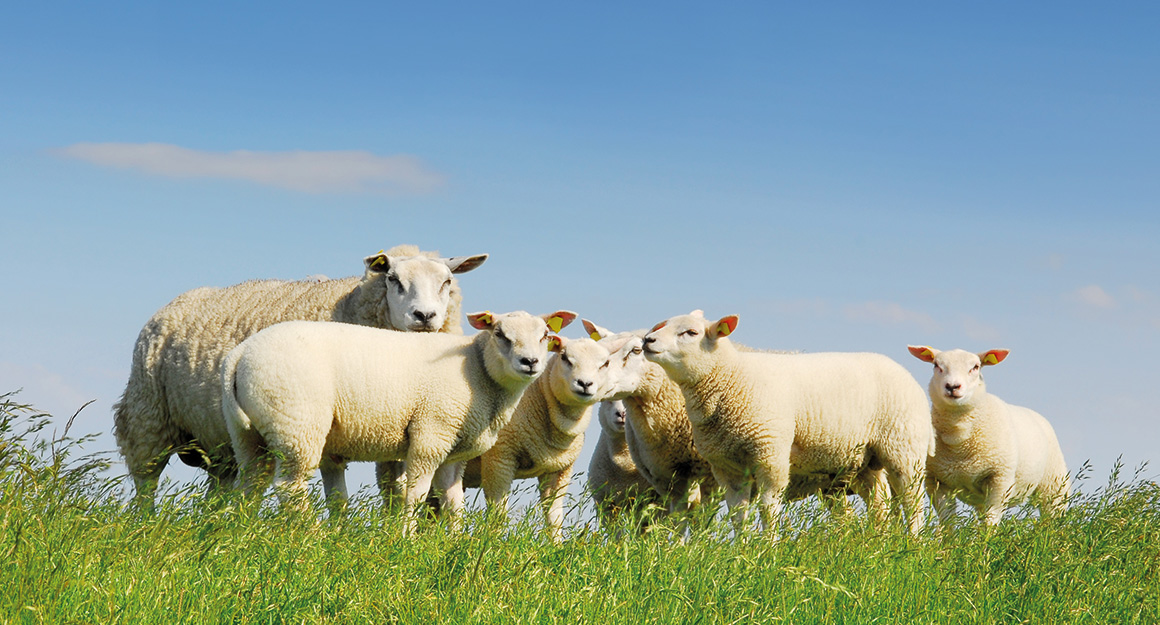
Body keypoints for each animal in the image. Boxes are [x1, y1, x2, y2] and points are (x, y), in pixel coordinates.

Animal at [112, 245, 487, 508]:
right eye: (393, 279)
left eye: (447, 282)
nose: (424, 316)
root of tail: (177, 301)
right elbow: (344, 497)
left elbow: (391, 491)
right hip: (149, 417)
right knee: (145, 482)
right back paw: (146, 523)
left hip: (221, 441)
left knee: (223, 488)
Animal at [222, 310, 577, 532]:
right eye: (500, 334)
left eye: (545, 335)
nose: (530, 362)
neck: (478, 370)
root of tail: (240, 354)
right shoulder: (431, 434)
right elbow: (415, 494)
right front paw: (406, 537)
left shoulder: (454, 449)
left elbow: (453, 501)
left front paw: (455, 540)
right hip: (296, 425)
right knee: (289, 487)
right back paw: (313, 535)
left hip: (249, 434)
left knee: (249, 485)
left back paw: (238, 535)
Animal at [459, 335, 638, 542]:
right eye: (565, 358)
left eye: (605, 363)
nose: (585, 384)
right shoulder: (499, 458)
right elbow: (498, 511)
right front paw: (492, 542)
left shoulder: (559, 469)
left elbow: (554, 516)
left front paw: (556, 545)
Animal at [642, 310, 931, 536]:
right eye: (662, 325)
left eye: (691, 332)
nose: (647, 340)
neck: (731, 378)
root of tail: (903, 370)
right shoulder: (727, 466)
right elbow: (738, 514)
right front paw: (741, 550)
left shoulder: (770, 453)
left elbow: (768, 508)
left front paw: (768, 548)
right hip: (865, 460)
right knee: (880, 504)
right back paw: (877, 543)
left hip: (904, 448)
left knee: (912, 501)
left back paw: (913, 543)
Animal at [908, 345, 1069, 526]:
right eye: (936, 365)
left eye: (975, 367)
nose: (952, 386)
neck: (959, 442)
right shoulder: (937, 481)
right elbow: (948, 521)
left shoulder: (1000, 478)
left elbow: (991, 520)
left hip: (1054, 486)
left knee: (1052, 517)